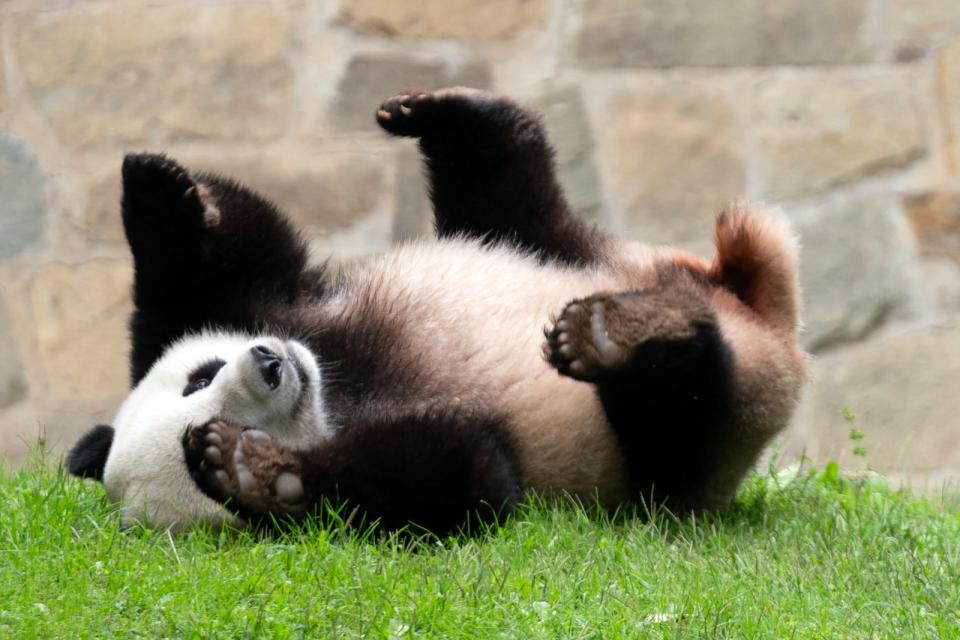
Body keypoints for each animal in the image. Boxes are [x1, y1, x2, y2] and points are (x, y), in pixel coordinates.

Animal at [63, 87, 808, 532]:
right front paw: (253, 472)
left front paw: (157, 192)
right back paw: (624, 338)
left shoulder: (275, 307)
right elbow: (465, 478)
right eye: (220, 407)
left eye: (199, 377)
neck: (338, 385)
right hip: (685, 453)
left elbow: (231, 264)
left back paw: (447, 115)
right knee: (681, 411)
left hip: (581, 252)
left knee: (511, 196)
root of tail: (763, 318)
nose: (271, 364)